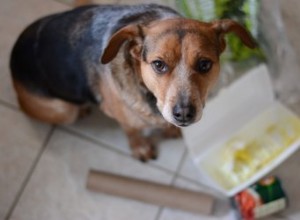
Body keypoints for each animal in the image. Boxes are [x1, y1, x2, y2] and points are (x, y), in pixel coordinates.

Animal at [11, 3, 255, 162]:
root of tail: (13, 55)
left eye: (204, 64)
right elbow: (131, 131)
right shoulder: (123, 116)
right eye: (158, 64)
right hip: (62, 110)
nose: (184, 114)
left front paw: (169, 129)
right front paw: (140, 147)